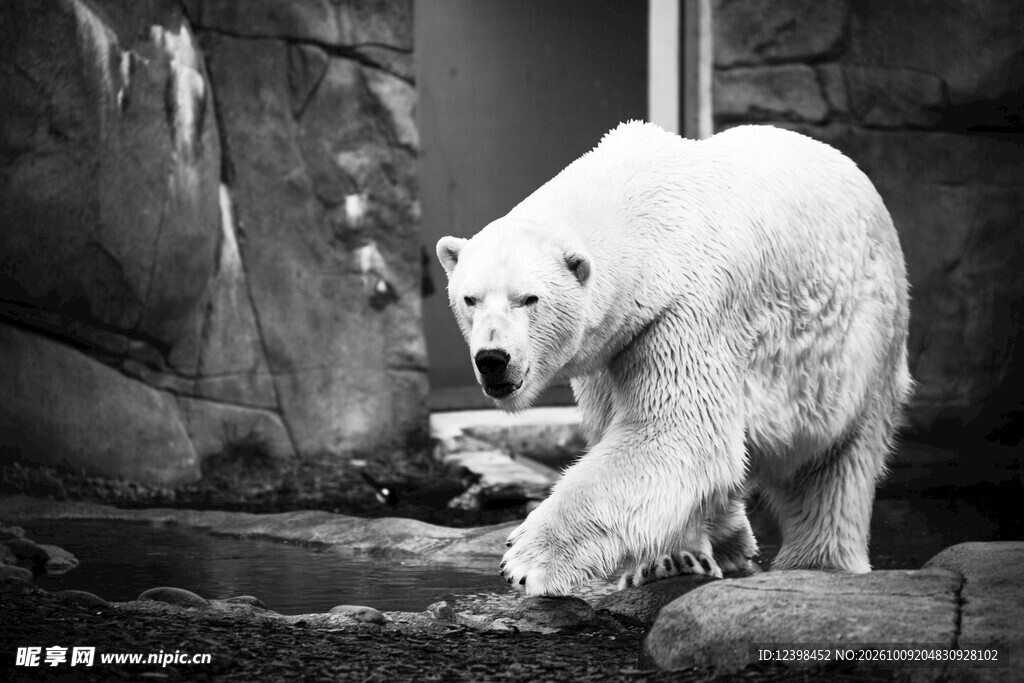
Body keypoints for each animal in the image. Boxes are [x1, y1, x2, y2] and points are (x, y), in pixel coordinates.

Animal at [435, 121, 912, 596]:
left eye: (529, 298)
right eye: (470, 299)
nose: (493, 358)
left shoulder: (685, 311)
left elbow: (674, 431)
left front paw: (527, 559)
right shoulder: (614, 347)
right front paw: (668, 558)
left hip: (858, 338)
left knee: (836, 462)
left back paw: (815, 563)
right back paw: (722, 543)